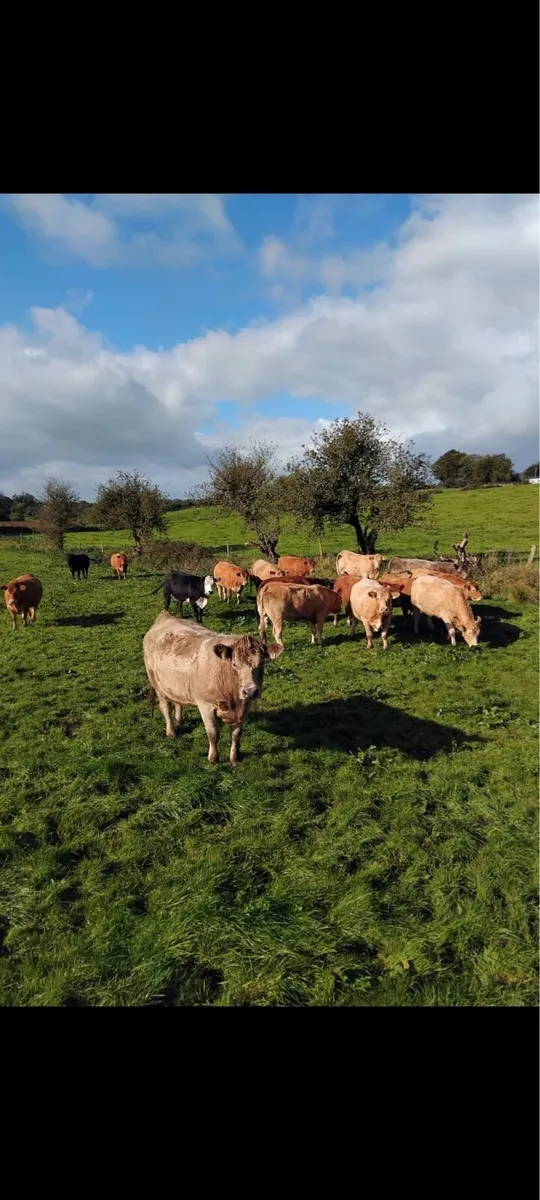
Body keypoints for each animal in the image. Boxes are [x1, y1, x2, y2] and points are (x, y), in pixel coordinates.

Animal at [143, 611, 283, 765]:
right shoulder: (206, 706)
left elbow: (236, 735)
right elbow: (213, 734)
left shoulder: (244, 708)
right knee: (165, 708)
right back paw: (171, 732)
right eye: (234, 664)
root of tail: (165, 616)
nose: (250, 691)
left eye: (262, 662)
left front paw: (234, 759)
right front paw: (213, 758)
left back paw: (179, 720)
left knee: (178, 702)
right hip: (157, 684)